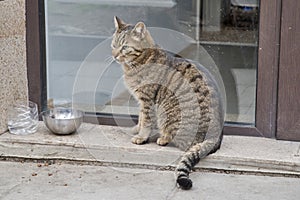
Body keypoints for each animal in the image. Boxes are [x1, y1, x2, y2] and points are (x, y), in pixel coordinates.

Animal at [111, 16, 224, 190]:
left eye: (125, 47)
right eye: (114, 45)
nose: (114, 55)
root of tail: (215, 137)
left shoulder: (147, 99)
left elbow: (146, 120)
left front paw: (141, 137)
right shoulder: (141, 100)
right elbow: (141, 117)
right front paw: (136, 128)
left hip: (166, 113)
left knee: (184, 142)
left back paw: (163, 138)